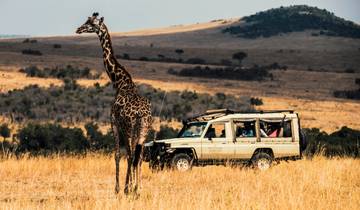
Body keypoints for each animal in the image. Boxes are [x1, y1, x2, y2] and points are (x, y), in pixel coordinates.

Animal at [76, 12, 152, 194]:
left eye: (91, 23)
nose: (78, 29)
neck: (119, 82)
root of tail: (141, 114)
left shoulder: (114, 122)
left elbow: (117, 155)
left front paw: (119, 188)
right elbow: (130, 156)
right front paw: (131, 186)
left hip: (130, 128)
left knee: (132, 155)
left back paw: (129, 188)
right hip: (144, 130)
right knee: (139, 155)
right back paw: (138, 188)